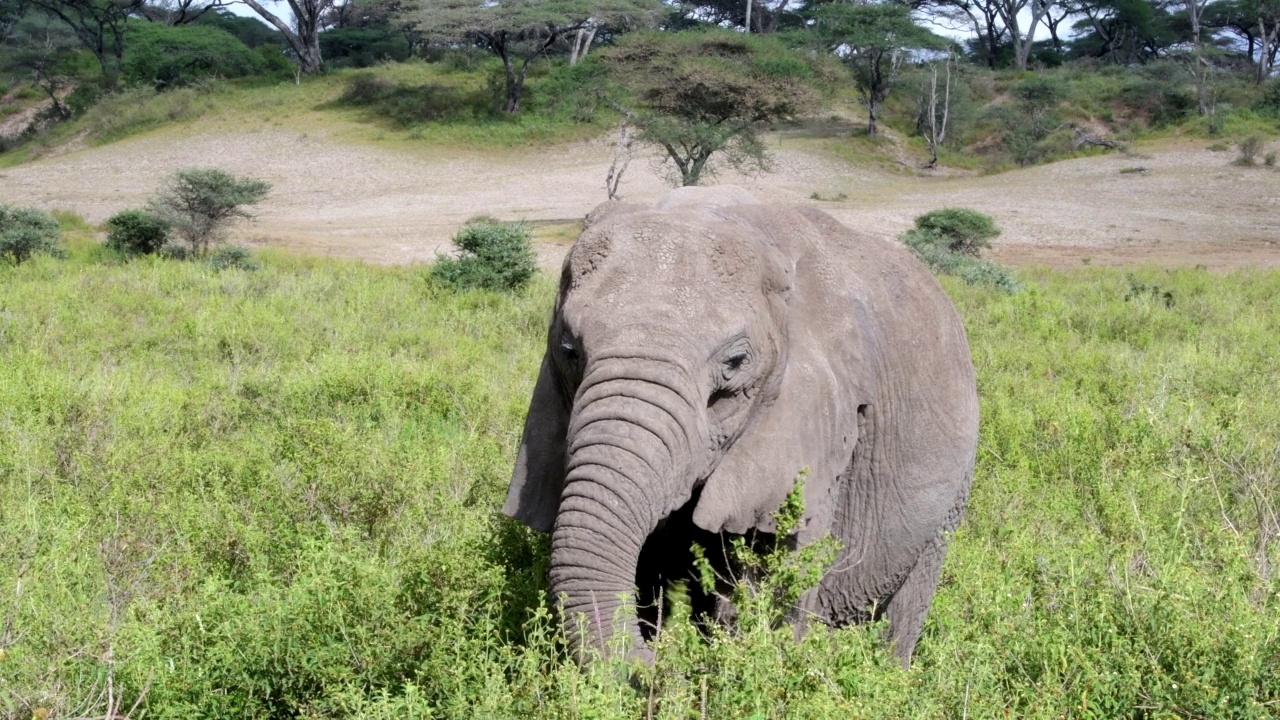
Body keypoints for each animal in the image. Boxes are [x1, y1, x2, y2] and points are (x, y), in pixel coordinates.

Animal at [501, 185, 977, 666]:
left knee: (907, 605)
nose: (664, 666)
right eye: (569, 350)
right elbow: (647, 568)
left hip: (951, 499)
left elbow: (773, 580)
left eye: (735, 362)